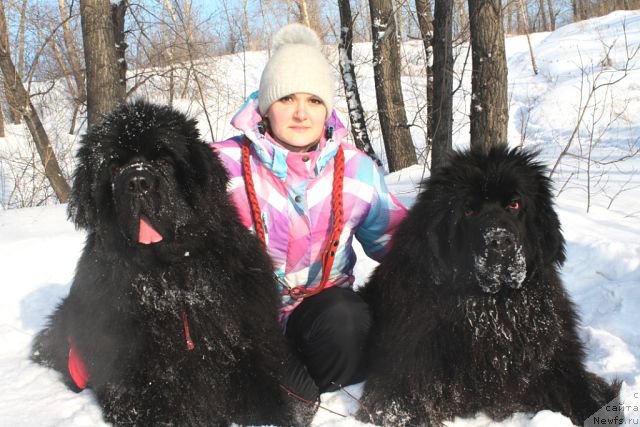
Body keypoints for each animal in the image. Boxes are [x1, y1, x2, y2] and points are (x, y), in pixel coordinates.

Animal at [31, 101, 312, 427]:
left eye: (164, 160)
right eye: (113, 166)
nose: (137, 181)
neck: (172, 282)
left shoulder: (251, 347)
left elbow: (270, 400)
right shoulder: (137, 382)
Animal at [358, 146, 616, 427]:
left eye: (514, 204)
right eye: (468, 211)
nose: (500, 242)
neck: (492, 310)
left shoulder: (557, 361)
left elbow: (587, 397)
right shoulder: (400, 383)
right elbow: (402, 407)